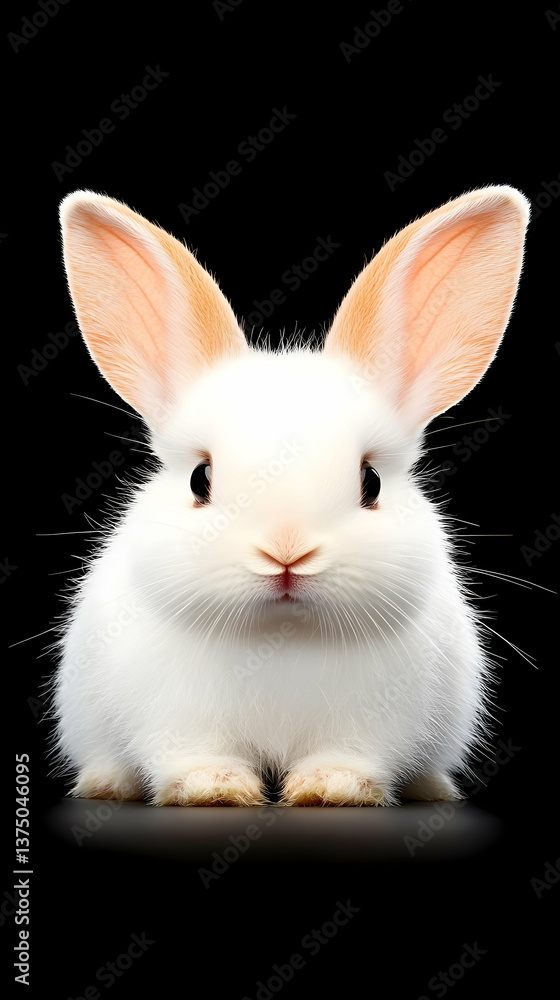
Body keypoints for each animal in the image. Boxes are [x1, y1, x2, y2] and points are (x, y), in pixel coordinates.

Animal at [51, 184, 529, 807]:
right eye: (199, 480)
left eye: (371, 482)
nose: (287, 552)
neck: (282, 637)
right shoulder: (175, 720)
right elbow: (193, 754)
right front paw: (215, 790)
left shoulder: (372, 724)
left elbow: (349, 754)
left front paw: (332, 789)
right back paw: (106, 784)